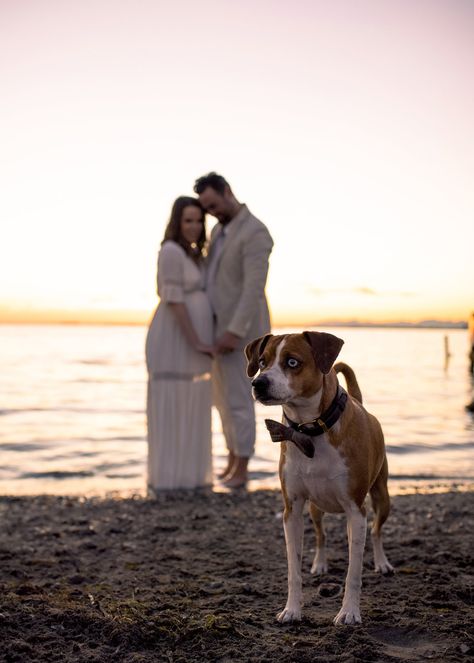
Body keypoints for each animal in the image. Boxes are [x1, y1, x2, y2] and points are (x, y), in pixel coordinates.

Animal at [244, 332, 392, 628]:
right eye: (262, 362)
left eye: (292, 362)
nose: (258, 382)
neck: (310, 431)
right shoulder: (292, 510)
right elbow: (294, 568)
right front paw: (291, 610)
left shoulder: (355, 510)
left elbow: (353, 571)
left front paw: (349, 612)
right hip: (315, 509)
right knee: (322, 535)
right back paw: (320, 564)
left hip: (382, 497)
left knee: (376, 530)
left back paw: (381, 563)